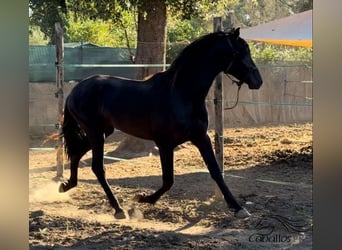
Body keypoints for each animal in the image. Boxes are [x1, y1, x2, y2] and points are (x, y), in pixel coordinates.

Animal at [59, 27, 262, 219]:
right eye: (241, 52)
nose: (258, 81)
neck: (181, 93)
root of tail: (75, 91)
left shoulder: (200, 137)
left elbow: (215, 172)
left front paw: (238, 208)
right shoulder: (165, 144)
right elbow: (168, 180)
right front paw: (142, 198)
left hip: (103, 131)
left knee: (77, 153)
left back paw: (66, 185)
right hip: (95, 132)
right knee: (98, 168)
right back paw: (118, 209)